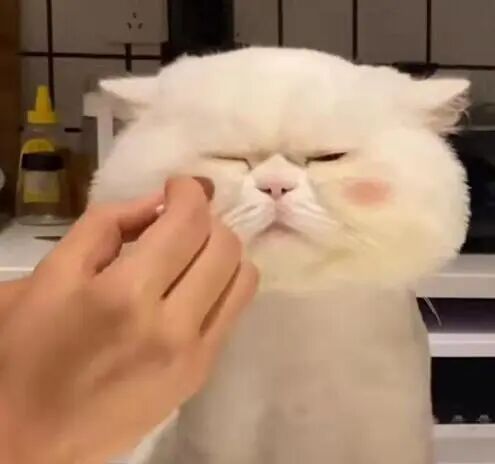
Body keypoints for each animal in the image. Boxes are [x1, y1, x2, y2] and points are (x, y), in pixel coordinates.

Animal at [90, 47, 470, 464]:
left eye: (328, 157)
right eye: (229, 158)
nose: (275, 186)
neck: (290, 327)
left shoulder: (394, 434)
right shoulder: (216, 439)